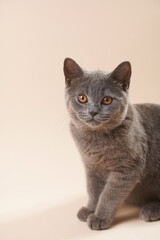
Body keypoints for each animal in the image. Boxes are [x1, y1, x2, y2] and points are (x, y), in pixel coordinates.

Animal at [63, 57, 160, 230]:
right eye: (82, 98)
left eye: (107, 100)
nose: (93, 111)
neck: (95, 140)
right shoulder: (91, 166)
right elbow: (93, 190)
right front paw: (90, 209)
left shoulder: (127, 168)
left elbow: (109, 194)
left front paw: (99, 217)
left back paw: (151, 209)